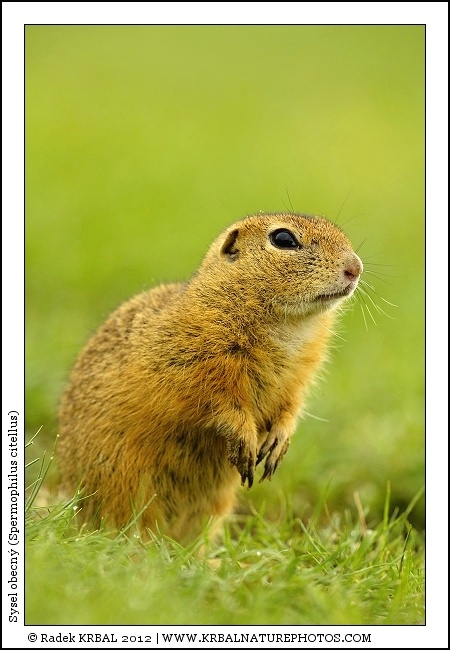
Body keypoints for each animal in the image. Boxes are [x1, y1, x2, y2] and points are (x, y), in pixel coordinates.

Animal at [58, 212, 363, 544]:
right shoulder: (200, 366)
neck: (288, 326)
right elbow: (221, 405)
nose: (355, 268)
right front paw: (244, 440)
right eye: (283, 239)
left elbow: (291, 407)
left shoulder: (298, 379)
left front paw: (279, 442)